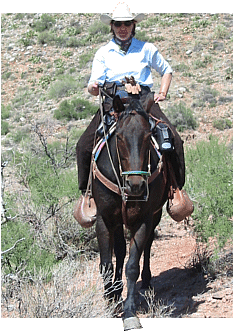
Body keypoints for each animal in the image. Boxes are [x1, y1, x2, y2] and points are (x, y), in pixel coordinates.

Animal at [92, 93, 171, 330]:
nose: (136, 185)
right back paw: (116, 291)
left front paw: (129, 312)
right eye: (119, 137)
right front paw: (110, 300)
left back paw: (146, 281)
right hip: (118, 220)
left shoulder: (143, 220)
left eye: (148, 136)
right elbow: (107, 264)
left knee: (147, 246)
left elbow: (132, 266)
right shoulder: (105, 219)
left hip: (155, 216)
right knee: (119, 250)